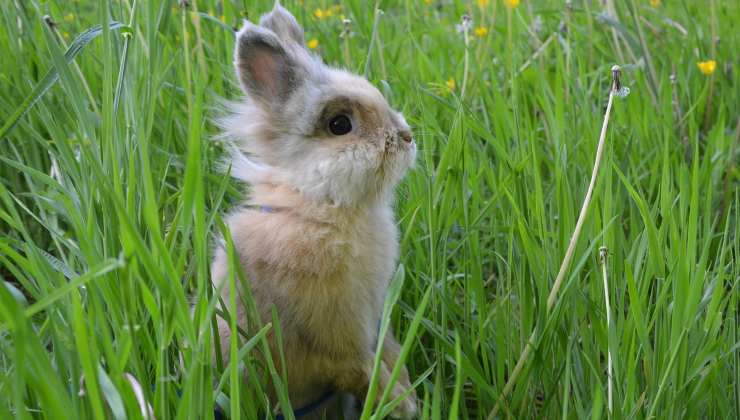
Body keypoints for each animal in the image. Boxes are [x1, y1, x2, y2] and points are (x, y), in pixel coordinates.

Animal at [211, 3, 420, 420]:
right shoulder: (339, 339)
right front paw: (403, 403)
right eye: (340, 124)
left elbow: (386, 354)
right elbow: (362, 368)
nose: (406, 137)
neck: (321, 208)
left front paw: (406, 393)